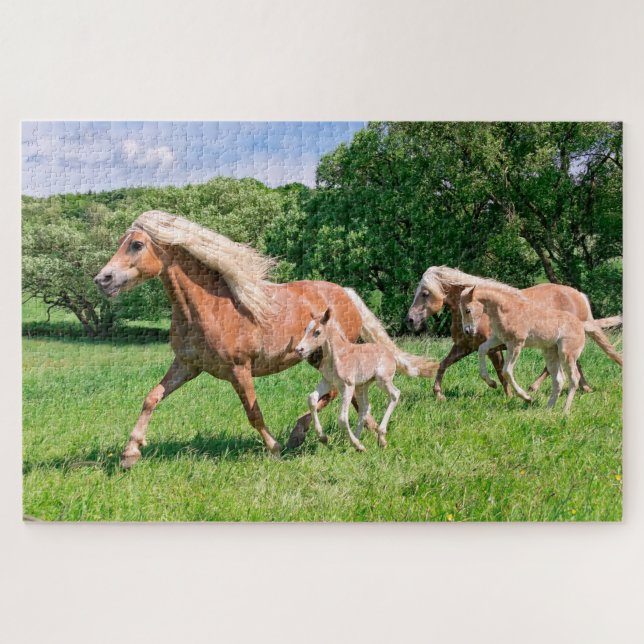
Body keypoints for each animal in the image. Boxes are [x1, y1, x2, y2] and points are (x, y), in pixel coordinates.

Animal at [295, 307, 400, 451]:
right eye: (305, 329)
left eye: (317, 332)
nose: (299, 350)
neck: (337, 356)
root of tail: (390, 354)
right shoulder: (328, 381)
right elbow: (311, 399)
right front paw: (323, 437)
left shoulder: (347, 385)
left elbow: (342, 418)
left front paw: (357, 445)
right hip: (362, 385)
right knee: (365, 407)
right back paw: (358, 439)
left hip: (382, 380)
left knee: (395, 394)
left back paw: (380, 438)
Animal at [406, 266, 622, 400]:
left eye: (425, 293)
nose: (410, 320)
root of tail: (579, 295)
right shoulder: (463, 347)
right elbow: (443, 364)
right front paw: (439, 394)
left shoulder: (494, 349)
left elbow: (501, 373)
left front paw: (506, 393)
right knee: (573, 363)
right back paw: (585, 388)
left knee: (557, 365)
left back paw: (535, 388)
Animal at [460, 285, 623, 413]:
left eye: (467, 310)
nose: (467, 331)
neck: (506, 310)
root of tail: (582, 324)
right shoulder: (498, 339)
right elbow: (482, 349)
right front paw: (491, 382)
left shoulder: (516, 344)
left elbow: (507, 371)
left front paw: (526, 397)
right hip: (551, 353)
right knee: (559, 379)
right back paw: (548, 409)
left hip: (566, 354)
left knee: (573, 378)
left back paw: (564, 410)